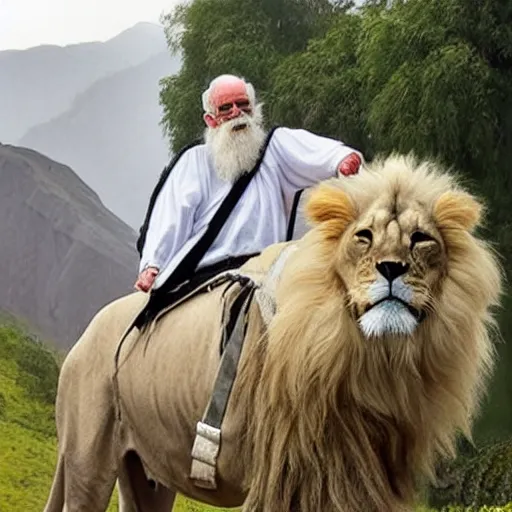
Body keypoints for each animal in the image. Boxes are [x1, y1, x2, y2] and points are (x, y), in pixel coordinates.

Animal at [43, 155, 500, 512]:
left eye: (421, 239)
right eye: (363, 237)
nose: (391, 268)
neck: (369, 361)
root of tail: (84, 337)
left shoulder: (369, 473)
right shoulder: (289, 476)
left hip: (148, 470)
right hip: (87, 460)